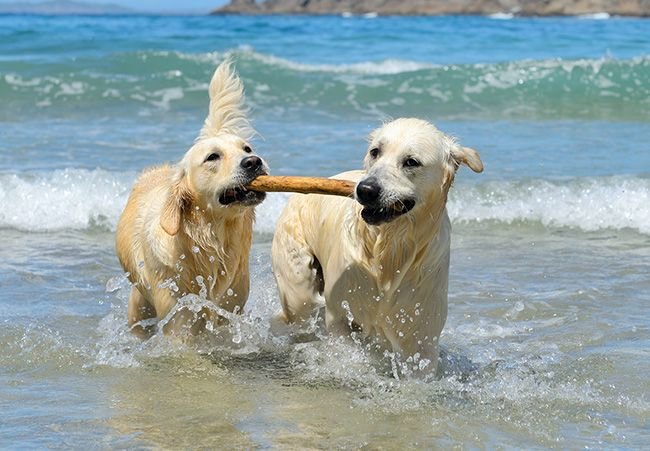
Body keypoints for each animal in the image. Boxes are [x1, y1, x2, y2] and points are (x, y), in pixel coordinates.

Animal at [115, 60, 268, 338]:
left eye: (247, 149)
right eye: (212, 157)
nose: (254, 162)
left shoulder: (230, 309)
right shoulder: (180, 313)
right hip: (139, 304)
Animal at [270, 118, 480, 376]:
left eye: (411, 161)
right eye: (375, 152)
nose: (365, 190)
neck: (389, 249)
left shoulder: (421, 331)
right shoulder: (340, 314)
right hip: (297, 281)